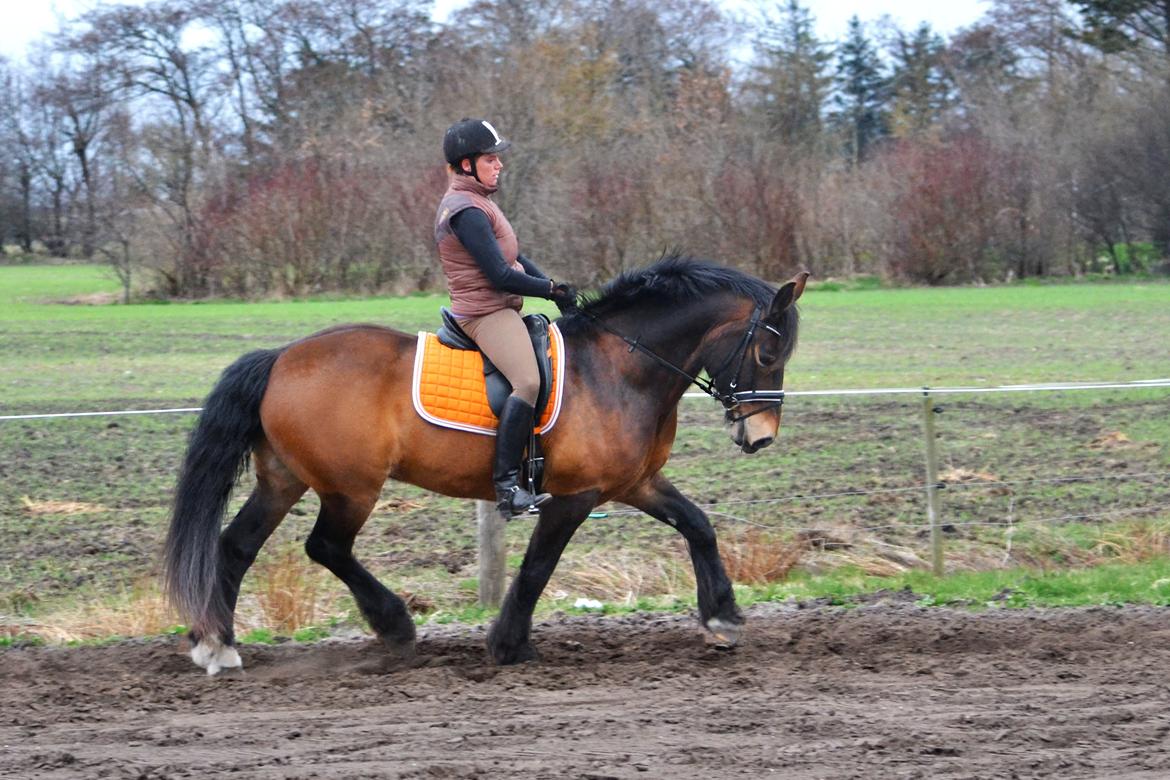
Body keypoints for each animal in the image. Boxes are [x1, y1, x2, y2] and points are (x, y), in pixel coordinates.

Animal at [162, 256, 804, 673]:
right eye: (767, 351)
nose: (760, 437)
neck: (621, 366)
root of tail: (280, 359)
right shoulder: (576, 495)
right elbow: (539, 567)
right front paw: (509, 645)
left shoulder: (635, 482)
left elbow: (698, 524)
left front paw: (722, 616)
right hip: (351, 488)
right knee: (326, 547)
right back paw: (394, 626)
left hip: (285, 480)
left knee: (236, 547)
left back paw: (215, 645)